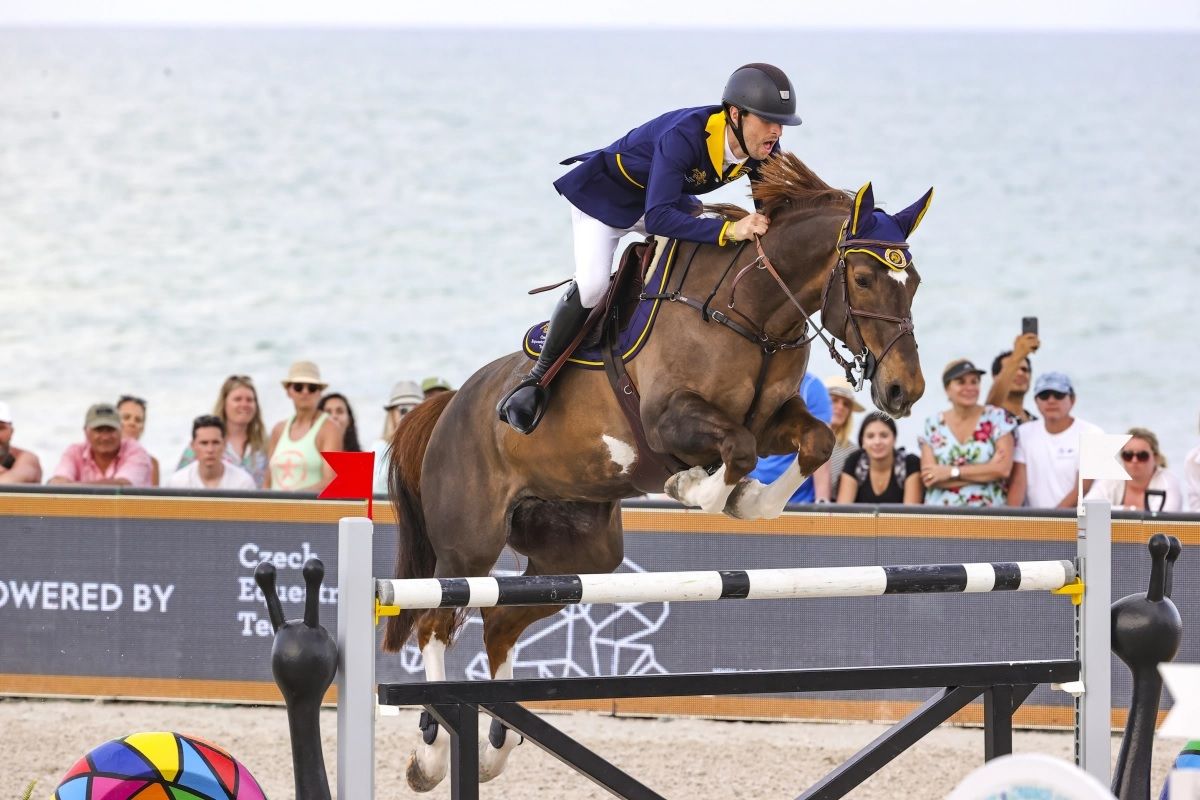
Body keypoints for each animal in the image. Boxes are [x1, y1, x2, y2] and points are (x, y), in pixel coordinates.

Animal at [384, 152, 932, 791]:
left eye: (915, 282)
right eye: (865, 279)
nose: (903, 390)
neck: (750, 311)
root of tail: (448, 406)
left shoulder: (776, 419)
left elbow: (811, 443)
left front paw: (747, 500)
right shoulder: (669, 420)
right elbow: (738, 450)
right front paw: (691, 486)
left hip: (581, 555)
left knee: (498, 624)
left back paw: (495, 748)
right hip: (468, 547)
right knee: (435, 624)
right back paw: (431, 755)